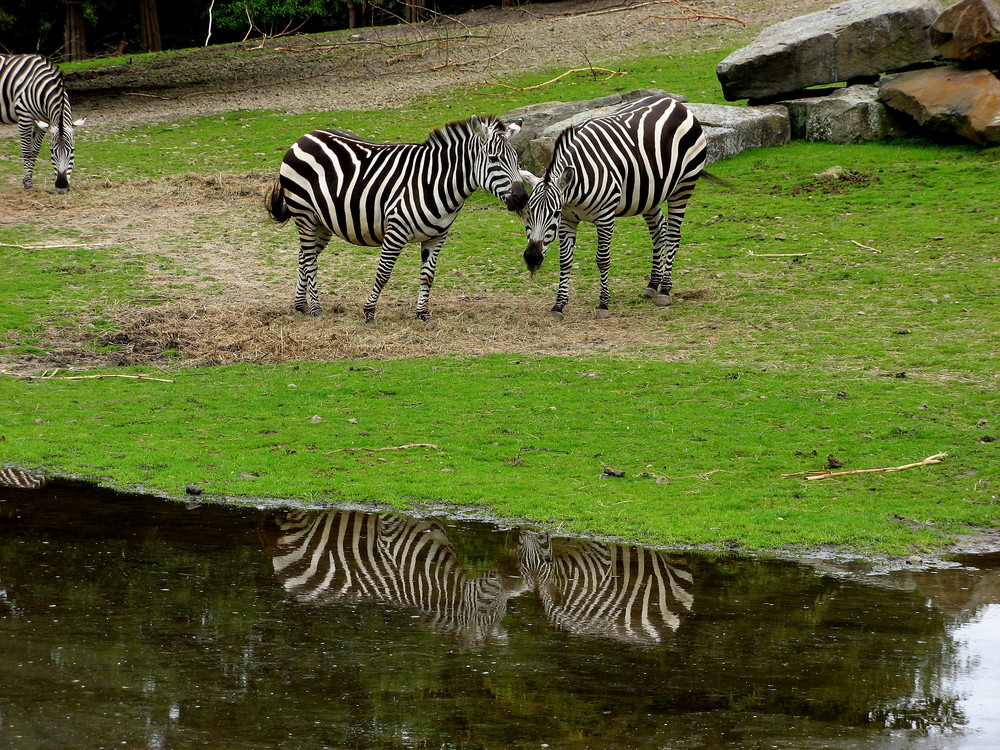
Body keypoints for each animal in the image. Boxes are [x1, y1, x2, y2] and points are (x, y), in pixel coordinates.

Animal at [0, 53, 85, 194]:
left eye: (72, 150)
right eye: (52, 151)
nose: (61, 186)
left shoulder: (42, 123)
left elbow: (34, 151)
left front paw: (28, 179)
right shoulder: (25, 117)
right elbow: (27, 150)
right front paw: (27, 183)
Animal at [266, 116, 532, 324]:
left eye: (517, 160)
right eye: (493, 159)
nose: (521, 199)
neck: (436, 181)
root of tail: (306, 136)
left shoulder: (437, 237)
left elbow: (428, 275)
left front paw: (422, 314)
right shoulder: (396, 231)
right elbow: (383, 273)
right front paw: (369, 311)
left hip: (322, 222)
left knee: (304, 256)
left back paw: (301, 305)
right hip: (304, 214)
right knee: (310, 261)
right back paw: (316, 308)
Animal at [520, 94, 708, 318]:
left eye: (554, 213)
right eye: (528, 212)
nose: (532, 259)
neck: (575, 190)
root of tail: (673, 102)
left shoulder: (604, 217)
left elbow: (602, 259)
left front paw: (603, 304)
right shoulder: (568, 220)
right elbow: (565, 260)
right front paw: (559, 305)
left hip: (684, 185)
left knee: (672, 235)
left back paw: (664, 290)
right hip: (649, 193)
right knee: (658, 232)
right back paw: (653, 285)